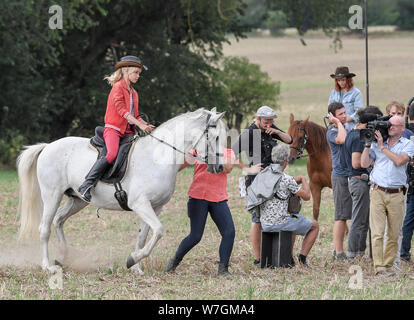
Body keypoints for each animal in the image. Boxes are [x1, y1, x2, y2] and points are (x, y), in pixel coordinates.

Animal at [16, 107, 226, 272]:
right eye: (216, 138)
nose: (220, 167)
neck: (158, 157)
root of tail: (47, 146)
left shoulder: (155, 207)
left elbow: (143, 236)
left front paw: (135, 267)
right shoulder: (140, 204)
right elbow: (159, 230)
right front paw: (133, 260)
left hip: (76, 200)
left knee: (59, 220)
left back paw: (64, 257)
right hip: (52, 195)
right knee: (44, 228)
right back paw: (47, 266)